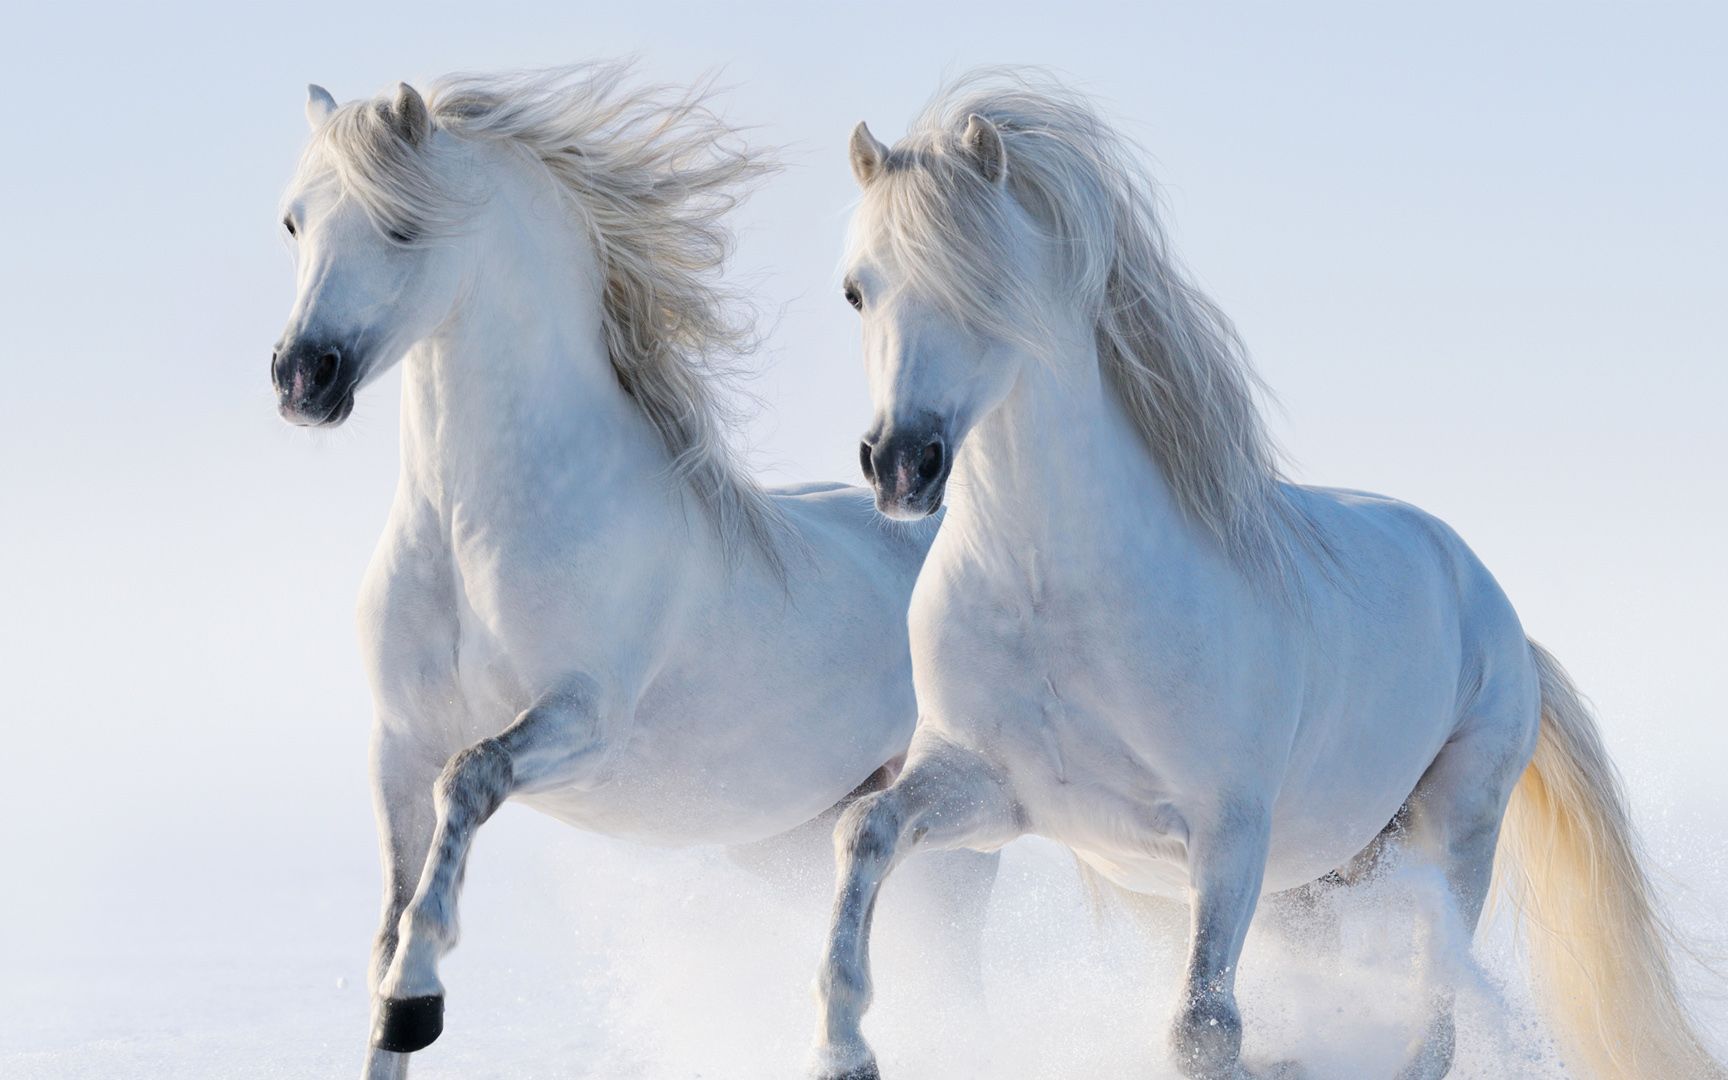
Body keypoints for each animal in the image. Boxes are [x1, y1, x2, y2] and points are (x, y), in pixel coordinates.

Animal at [269, 64, 995, 1080]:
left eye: (401, 225)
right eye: (294, 222)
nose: (303, 377)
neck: (470, 530)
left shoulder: (581, 718)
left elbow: (468, 783)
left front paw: (419, 997)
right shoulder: (396, 743)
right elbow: (388, 916)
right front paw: (395, 1012)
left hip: (962, 835)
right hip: (793, 840)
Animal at [809, 69, 1723, 1080]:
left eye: (984, 285)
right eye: (856, 292)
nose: (901, 465)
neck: (1055, 598)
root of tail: (1497, 613)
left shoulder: (1229, 834)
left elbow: (1204, 1030)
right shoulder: (989, 789)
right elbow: (864, 829)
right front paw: (843, 1048)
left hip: (1452, 836)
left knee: (1434, 1018)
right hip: (1313, 887)